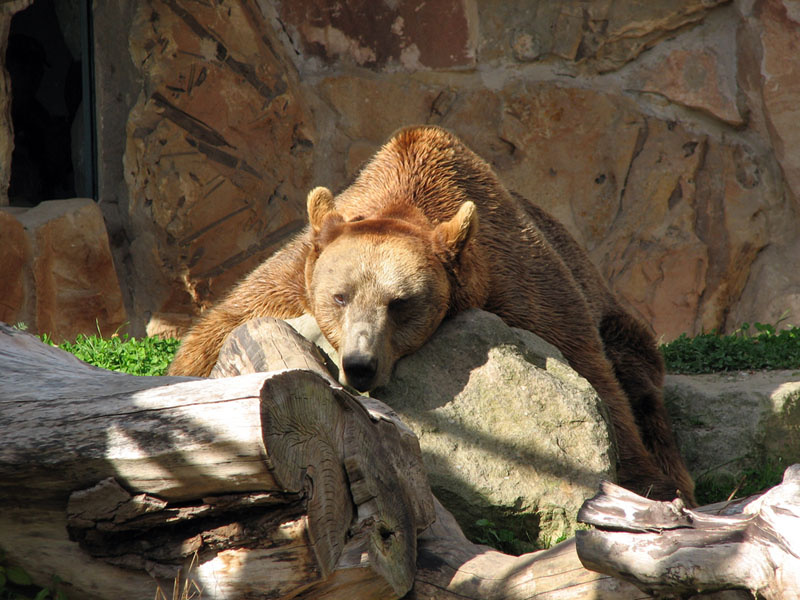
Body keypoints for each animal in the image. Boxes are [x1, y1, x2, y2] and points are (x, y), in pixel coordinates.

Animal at [169, 125, 695, 505]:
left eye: (400, 303)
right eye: (340, 297)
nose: (361, 366)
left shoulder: (523, 286)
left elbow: (593, 374)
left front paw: (647, 481)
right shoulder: (293, 275)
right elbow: (218, 331)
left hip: (615, 315)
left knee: (639, 380)